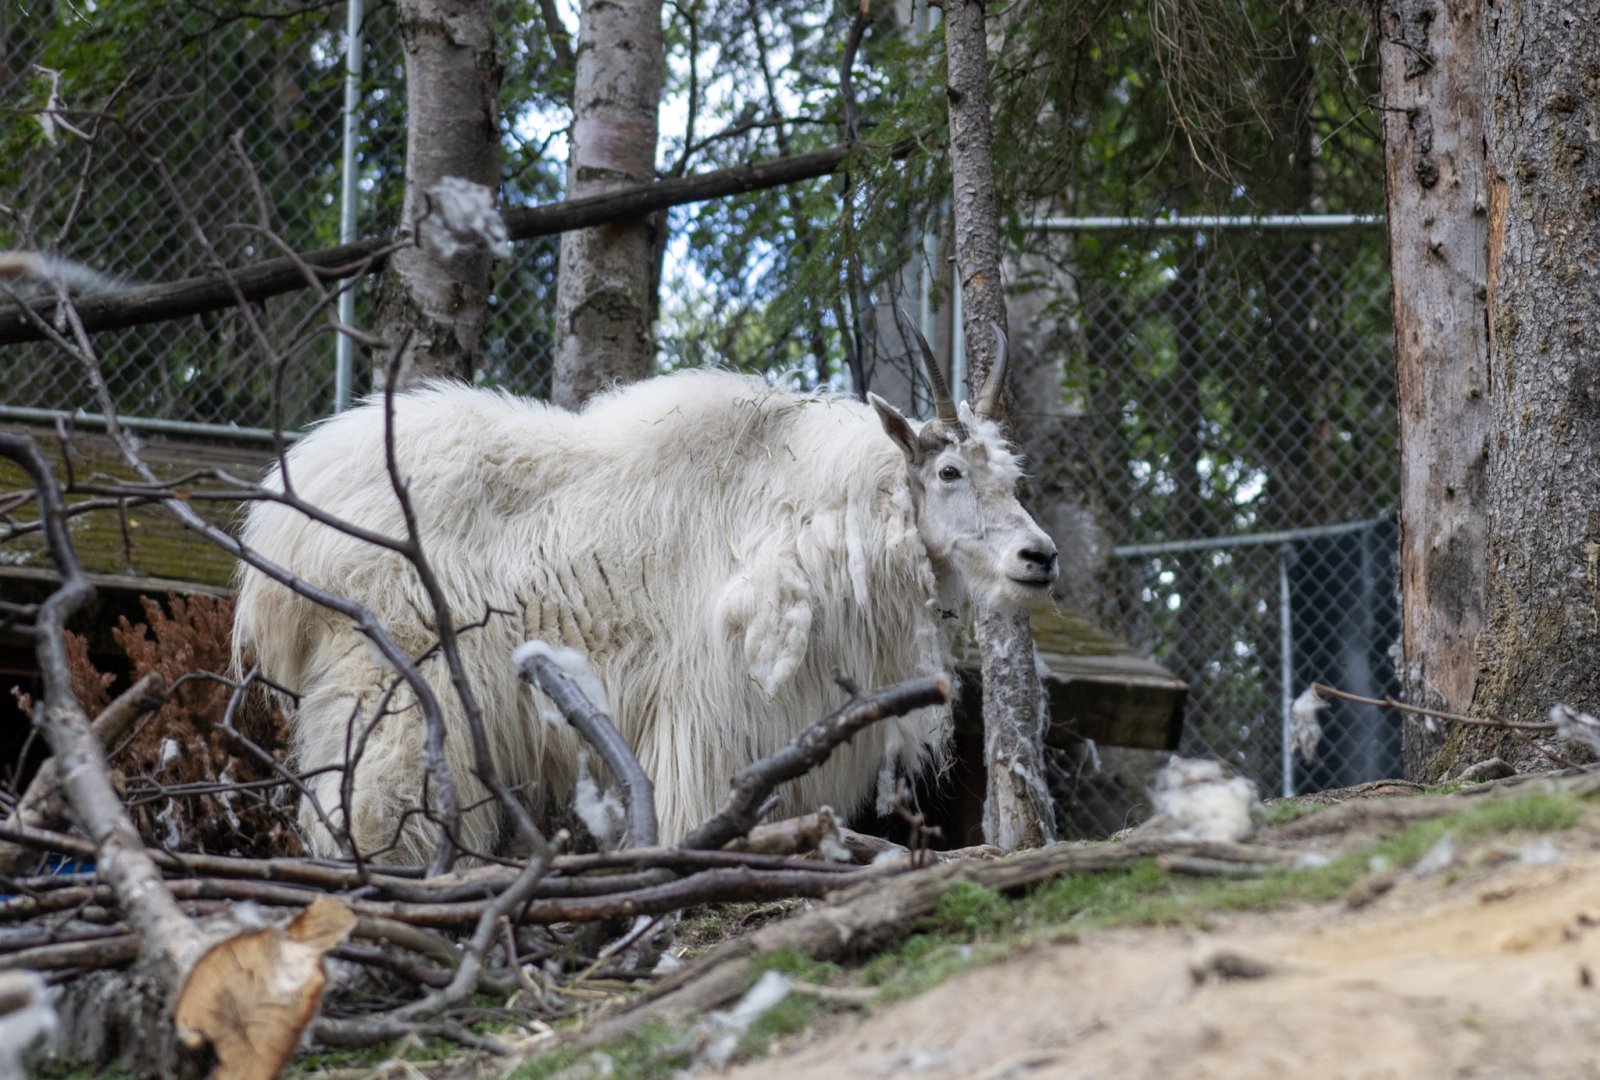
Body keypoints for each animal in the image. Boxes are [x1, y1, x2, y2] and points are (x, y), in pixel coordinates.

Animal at [233, 333, 1057, 861]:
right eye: (948, 471)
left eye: (1012, 478)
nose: (1039, 557)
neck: (829, 509)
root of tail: (282, 515)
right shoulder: (712, 705)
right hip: (389, 676)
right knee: (364, 798)